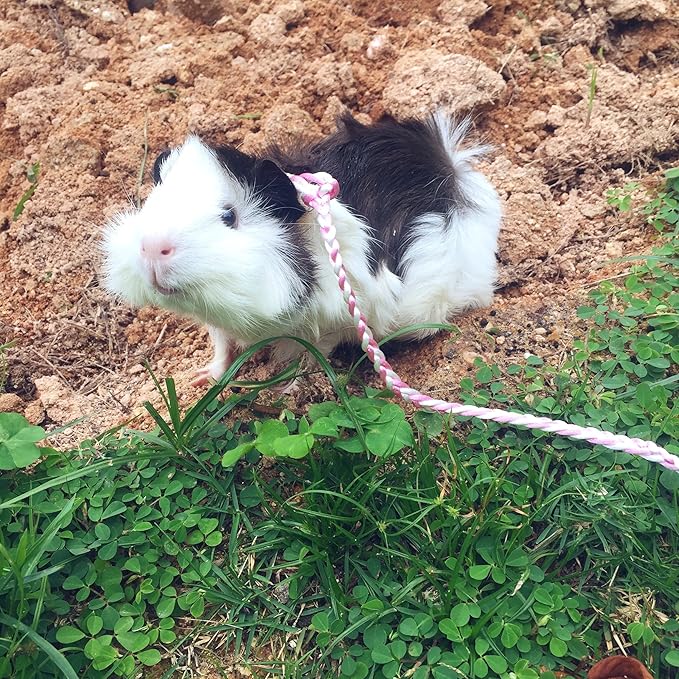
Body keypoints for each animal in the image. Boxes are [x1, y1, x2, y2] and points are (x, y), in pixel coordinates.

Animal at [102, 111, 501, 386]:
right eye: (153, 203)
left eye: (229, 216)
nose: (152, 248)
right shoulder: (217, 324)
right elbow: (221, 348)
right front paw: (202, 379)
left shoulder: (329, 326)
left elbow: (307, 358)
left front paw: (288, 390)